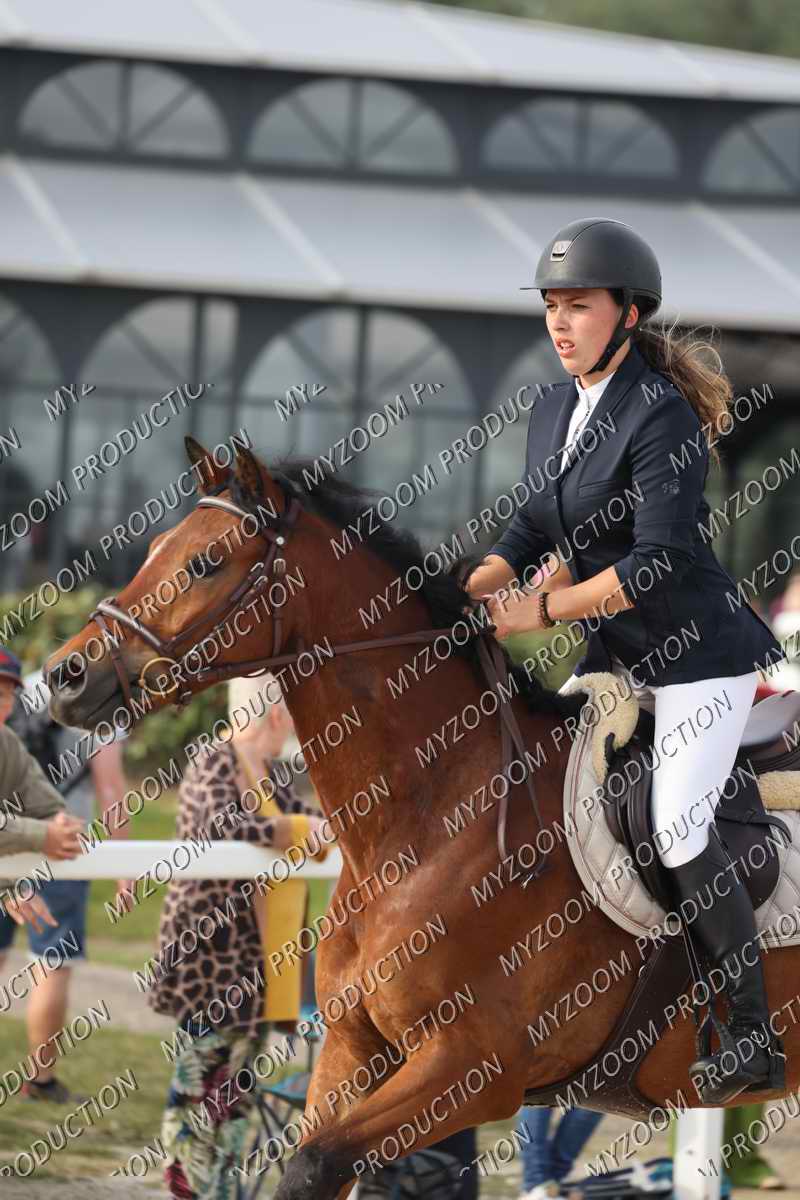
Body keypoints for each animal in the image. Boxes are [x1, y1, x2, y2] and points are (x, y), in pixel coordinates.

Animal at [44, 437, 800, 1200]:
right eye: (155, 548)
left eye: (206, 561)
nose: (64, 675)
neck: (428, 822)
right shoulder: (353, 1051)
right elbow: (315, 1161)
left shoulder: (472, 1069)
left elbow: (314, 1162)